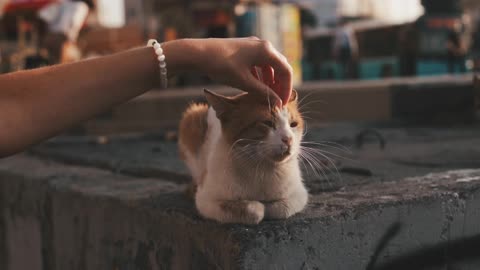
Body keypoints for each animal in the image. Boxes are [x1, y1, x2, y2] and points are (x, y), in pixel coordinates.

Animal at [177, 88, 308, 224]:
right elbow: (253, 210)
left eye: (293, 124)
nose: (288, 139)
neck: (261, 168)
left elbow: (280, 208)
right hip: (192, 119)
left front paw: (270, 206)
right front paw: (259, 207)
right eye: (267, 123)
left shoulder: (299, 194)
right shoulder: (206, 201)